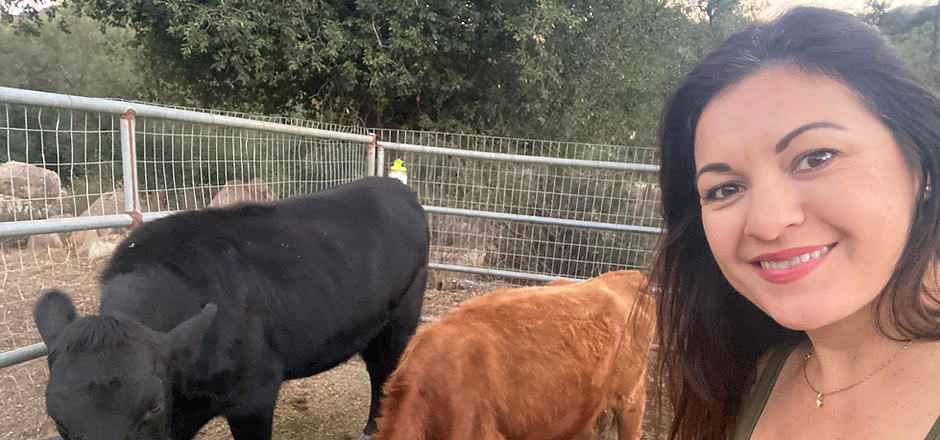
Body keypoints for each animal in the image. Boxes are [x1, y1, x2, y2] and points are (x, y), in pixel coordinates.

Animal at [33, 177, 430, 440]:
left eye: (152, 405)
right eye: (57, 418)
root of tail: (395, 187)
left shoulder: (255, 396)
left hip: (402, 316)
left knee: (384, 372)